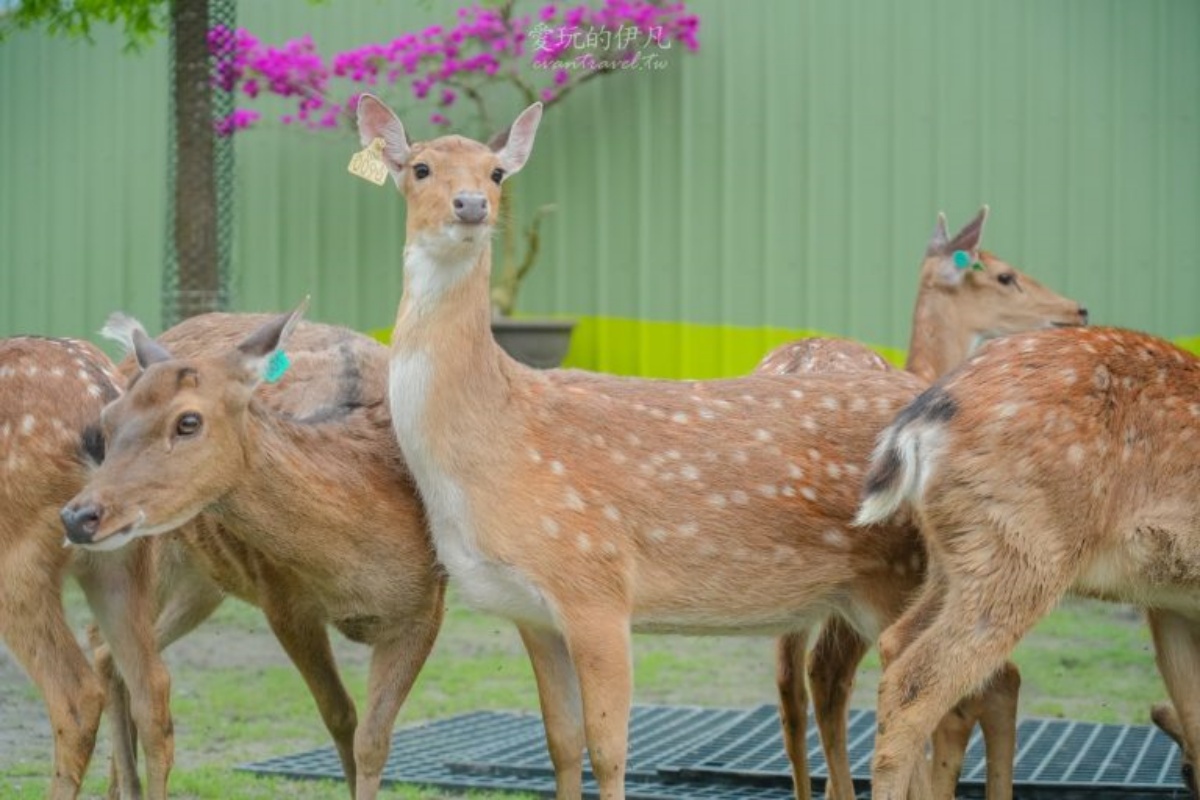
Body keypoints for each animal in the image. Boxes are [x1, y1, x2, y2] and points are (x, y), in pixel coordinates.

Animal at [60, 311, 446, 800]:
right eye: (108, 421)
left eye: (188, 421)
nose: (78, 516)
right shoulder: (280, 599)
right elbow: (340, 715)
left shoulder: (425, 609)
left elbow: (372, 740)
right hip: (158, 558)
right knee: (108, 649)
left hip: (201, 583)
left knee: (111, 653)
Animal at [859, 326, 1200, 800]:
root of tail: (920, 423)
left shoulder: (1170, 604)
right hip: (1021, 557)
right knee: (915, 683)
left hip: (956, 556)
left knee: (896, 640)